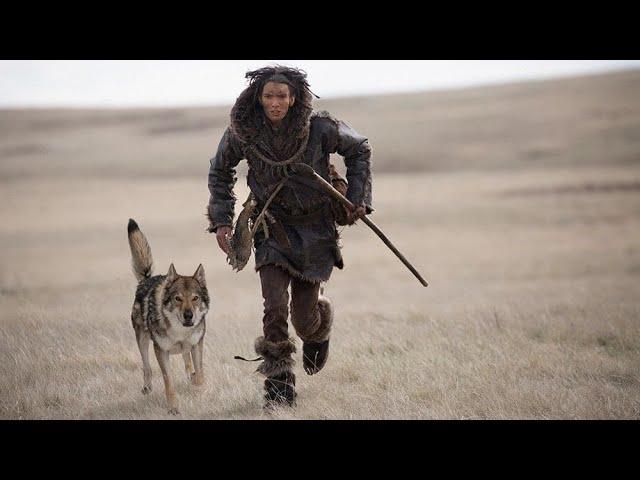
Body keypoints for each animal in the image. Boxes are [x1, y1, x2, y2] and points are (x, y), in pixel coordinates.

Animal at [127, 218, 209, 415]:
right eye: (177, 298)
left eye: (195, 298)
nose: (189, 315)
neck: (179, 332)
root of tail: (146, 278)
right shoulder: (161, 351)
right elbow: (168, 382)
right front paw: (173, 408)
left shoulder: (197, 344)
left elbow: (200, 374)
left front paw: (196, 383)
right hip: (142, 340)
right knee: (147, 367)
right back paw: (147, 387)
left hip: (186, 348)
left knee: (187, 362)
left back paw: (189, 375)